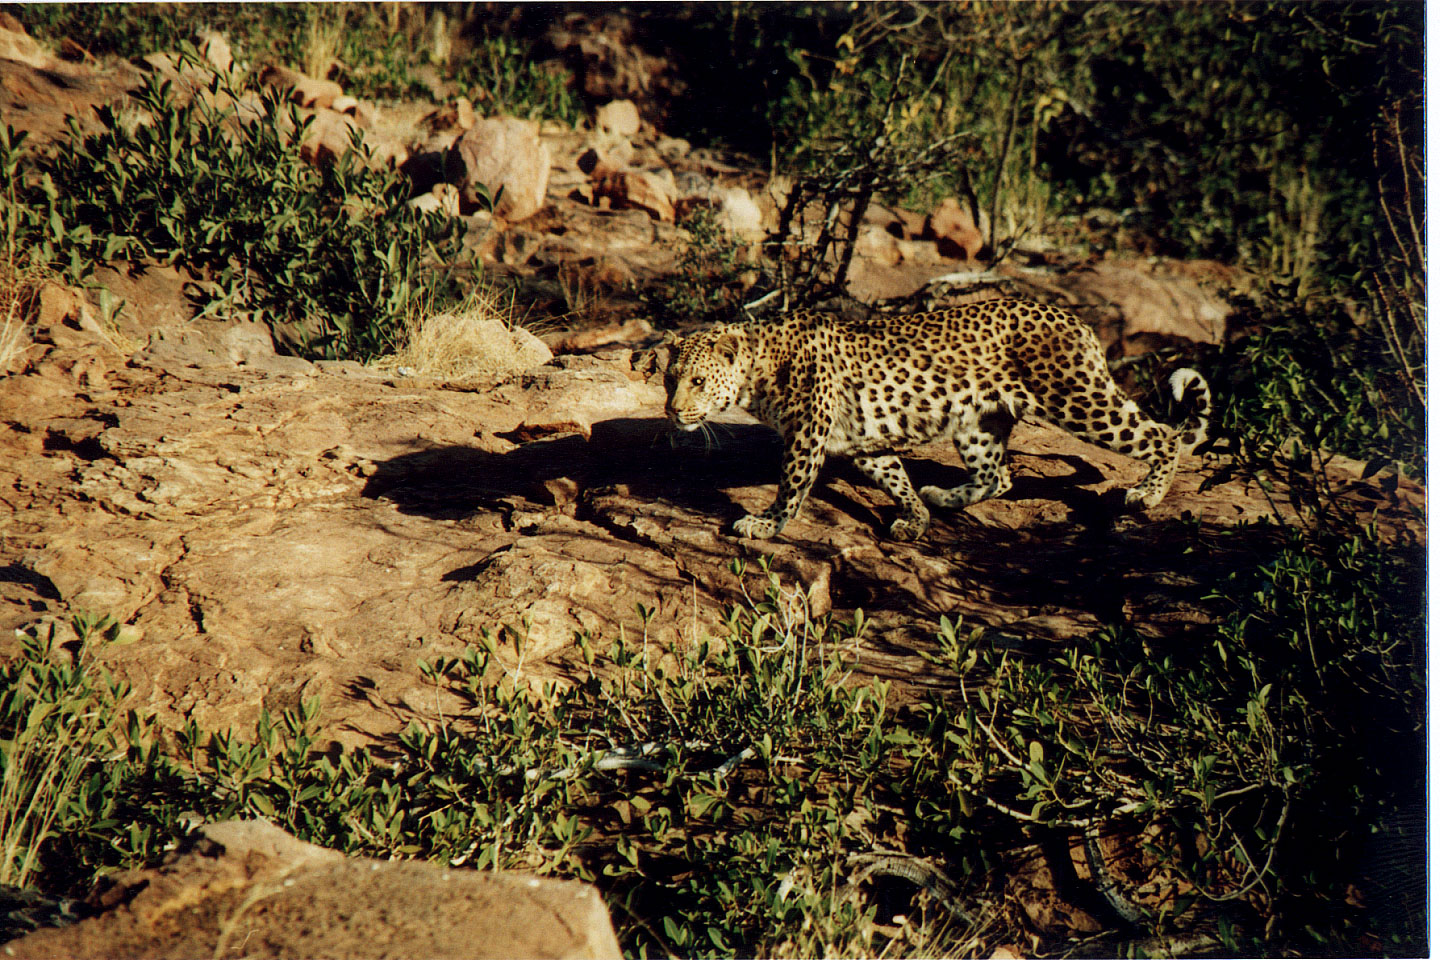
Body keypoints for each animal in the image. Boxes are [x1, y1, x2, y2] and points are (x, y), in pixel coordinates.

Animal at [653, 300, 1215, 541]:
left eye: (698, 381)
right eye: (669, 378)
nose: (672, 411)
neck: (759, 369)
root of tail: (1077, 319)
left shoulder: (809, 436)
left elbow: (791, 486)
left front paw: (765, 524)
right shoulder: (859, 440)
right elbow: (894, 475)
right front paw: (915, 516)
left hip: (1077, 398)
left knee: (1162, 436)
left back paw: (1148, 494)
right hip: (978, 423)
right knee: (1000, 477)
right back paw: (942, 497)